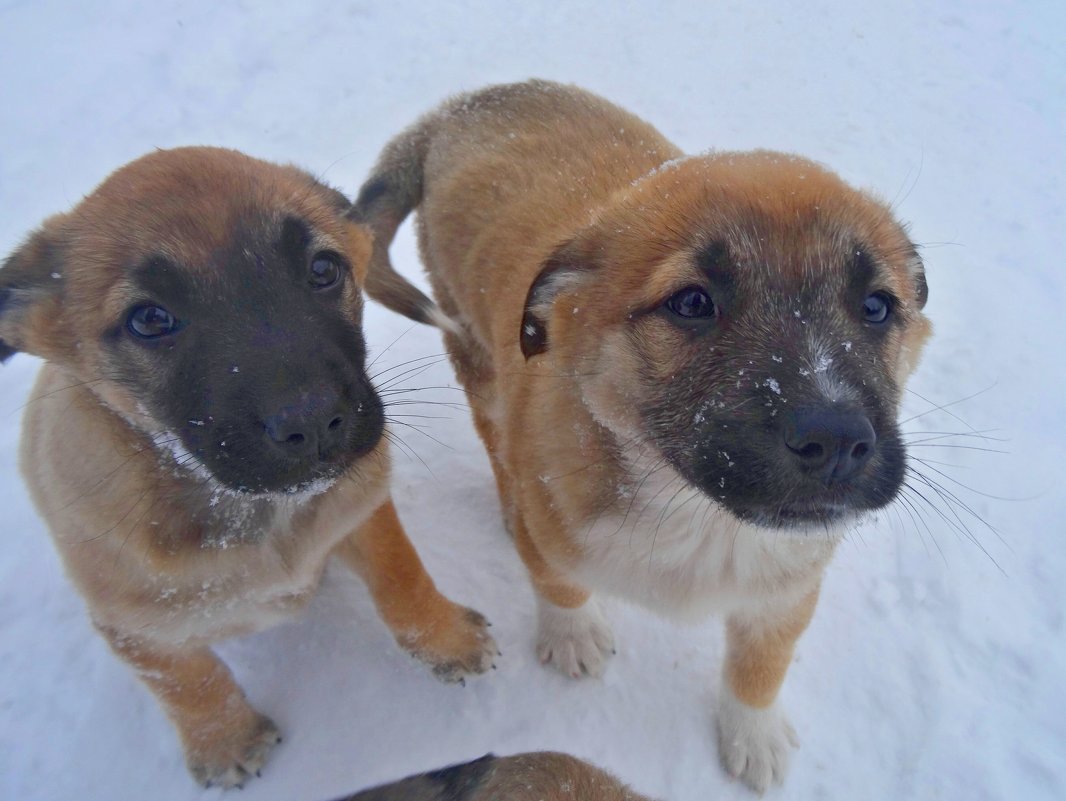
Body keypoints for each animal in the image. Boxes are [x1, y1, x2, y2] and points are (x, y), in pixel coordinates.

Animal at [0, 149, 496, 789]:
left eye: (323, 269)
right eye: (149, 320)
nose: (316, 421)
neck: (250, 515)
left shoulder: (361, 511)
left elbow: (401, 576)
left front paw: (446, 638)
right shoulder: (134, 628)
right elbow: (189, 683)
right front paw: (225, 741)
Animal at [353, 78, 929, 793]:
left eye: (878, 307)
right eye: (692, 303)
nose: (837, 441)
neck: (696, 513)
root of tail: (459, 106)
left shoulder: (788, 587)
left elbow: (761, 665)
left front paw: (754, 735)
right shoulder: (556, 524)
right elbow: (558, 583)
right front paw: (573, 637)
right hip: (474, 356)